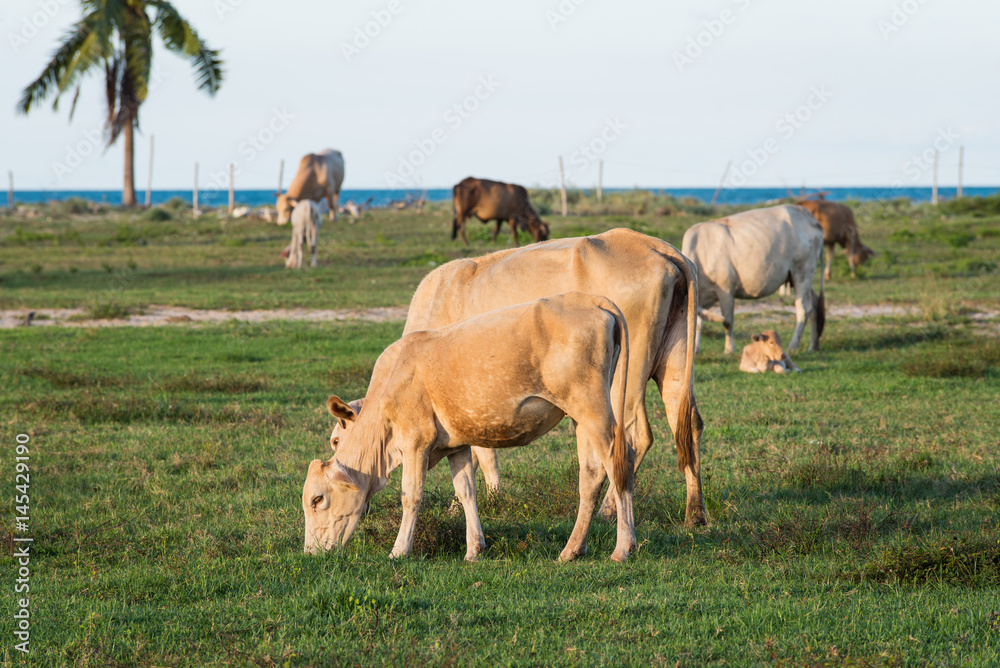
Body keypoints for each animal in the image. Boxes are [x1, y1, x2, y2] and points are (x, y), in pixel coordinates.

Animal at [300, 294, 636, 560]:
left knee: (620, 463)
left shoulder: (415, 441)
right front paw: (474, 548)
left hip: (592, 408)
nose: (310, 552)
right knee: (591, 474)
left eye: (318, 499)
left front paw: (399, 551)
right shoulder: (456, 444)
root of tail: (592, 300)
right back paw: (572, 550)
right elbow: (466, 491)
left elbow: (411, 495)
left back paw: (623, 547)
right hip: (580, 417)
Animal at [326, 230, 704, 528]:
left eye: (334, 440)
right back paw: (695, 513)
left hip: (626, 376)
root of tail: (656, 246)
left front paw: (477, 501)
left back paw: (609, 510)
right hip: (674, 361)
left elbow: (480, 453)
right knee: (687, 424)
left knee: (634, 435)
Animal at [680, 206, 828, 354]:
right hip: (801, 277)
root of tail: (808, 216)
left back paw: (793, 345)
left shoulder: (726, 290)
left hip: (802, 271)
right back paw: (813, 345)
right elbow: (698, 323)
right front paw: (695, 349)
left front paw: (729, 349)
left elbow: (727, 321)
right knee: (814, 305)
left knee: (803, 309)